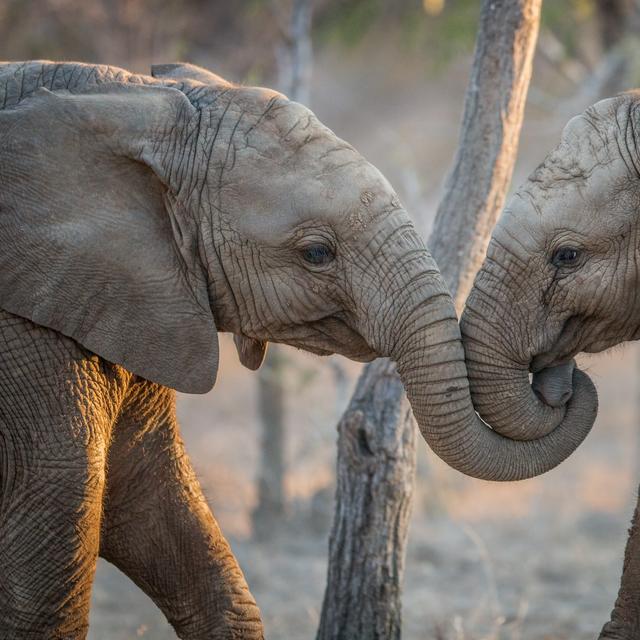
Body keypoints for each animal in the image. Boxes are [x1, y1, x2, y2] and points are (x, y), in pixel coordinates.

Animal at [0, 60, 596, 639]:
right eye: (316, 253)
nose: (562, 374)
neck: (127, 99)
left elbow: (151, 491)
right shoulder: (28, 330)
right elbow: (70, 493)